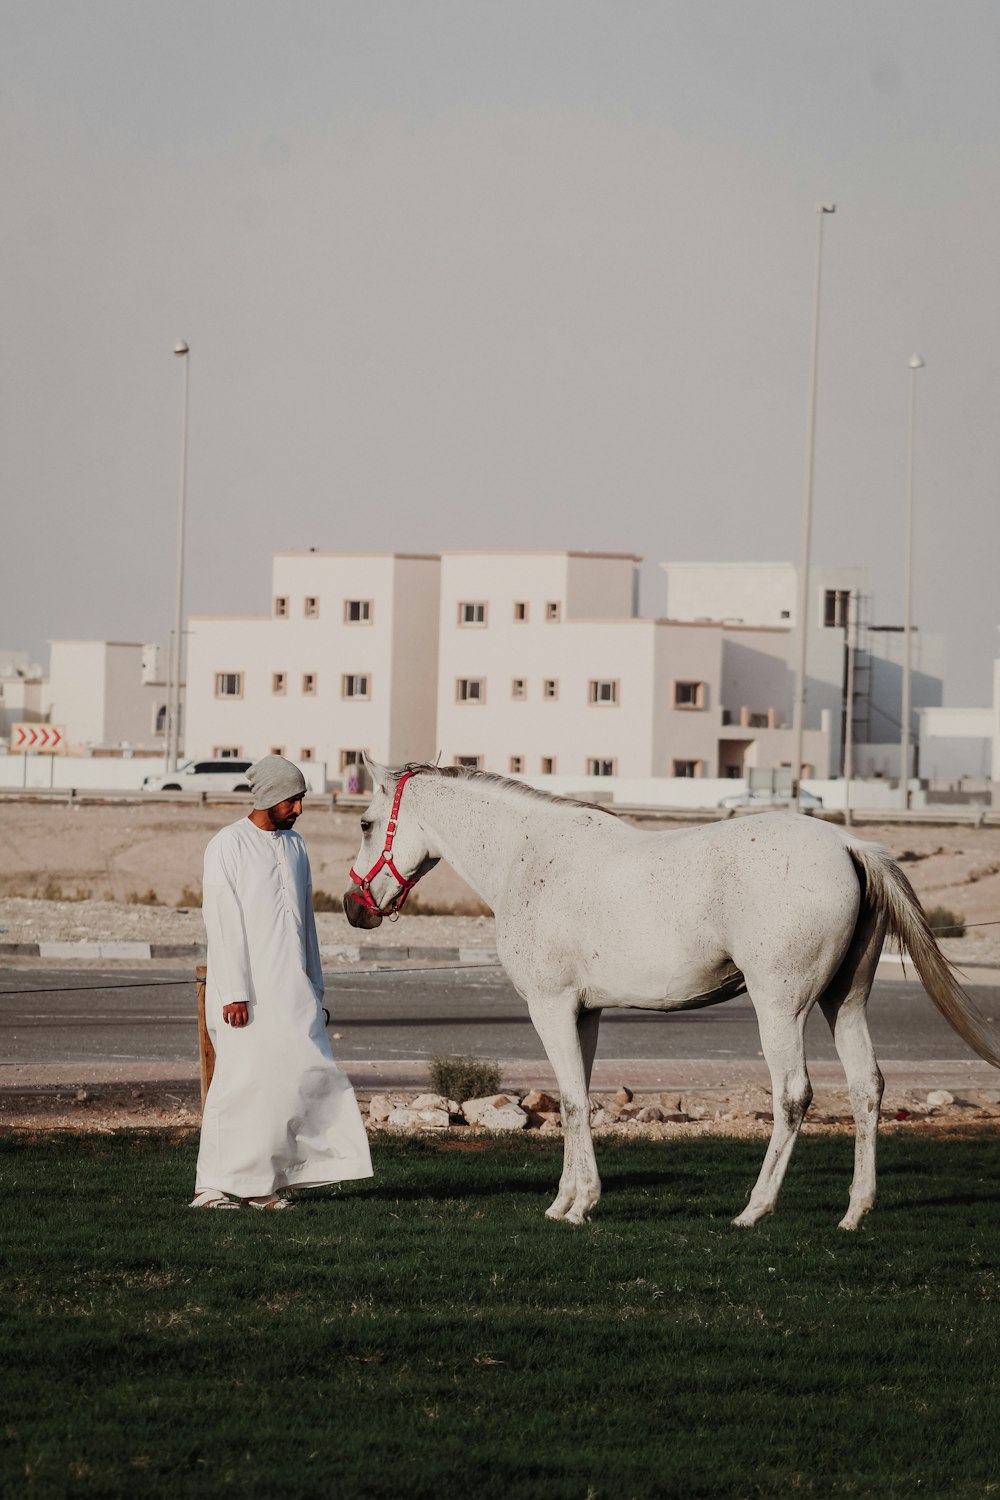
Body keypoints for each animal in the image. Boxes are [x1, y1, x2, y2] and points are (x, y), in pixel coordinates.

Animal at [346, 762, 1000, 1230]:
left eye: (365, 823)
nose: (355, 908)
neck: (528, 858)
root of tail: (847, 845)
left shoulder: (551, 1008)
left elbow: (575, 1102)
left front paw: (581, 1205)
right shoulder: (586, 1014)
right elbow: (575, 1098)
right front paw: (563, 1201)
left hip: (780, 1007)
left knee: (793, 1094)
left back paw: (754, 1209)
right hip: (845, 1002)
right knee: (867, 1089)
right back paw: (855, 1211)